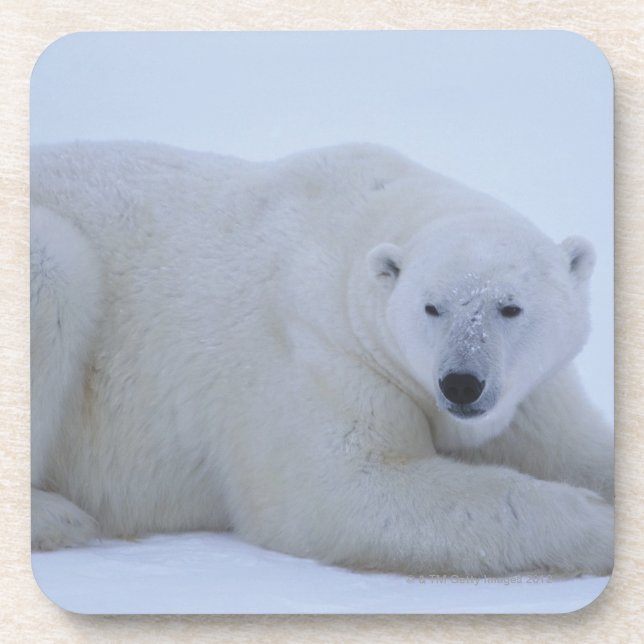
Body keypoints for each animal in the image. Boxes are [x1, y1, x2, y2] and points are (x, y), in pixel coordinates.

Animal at [30, 141, 613, 576]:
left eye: (510, 307)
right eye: (432, 307)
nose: (461, 384)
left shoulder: (532, 391)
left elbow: (579, 446)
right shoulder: (316, 351)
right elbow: (346, 490)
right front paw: (601, 525)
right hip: (55, 256)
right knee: (55, 271)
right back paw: (59, 518)